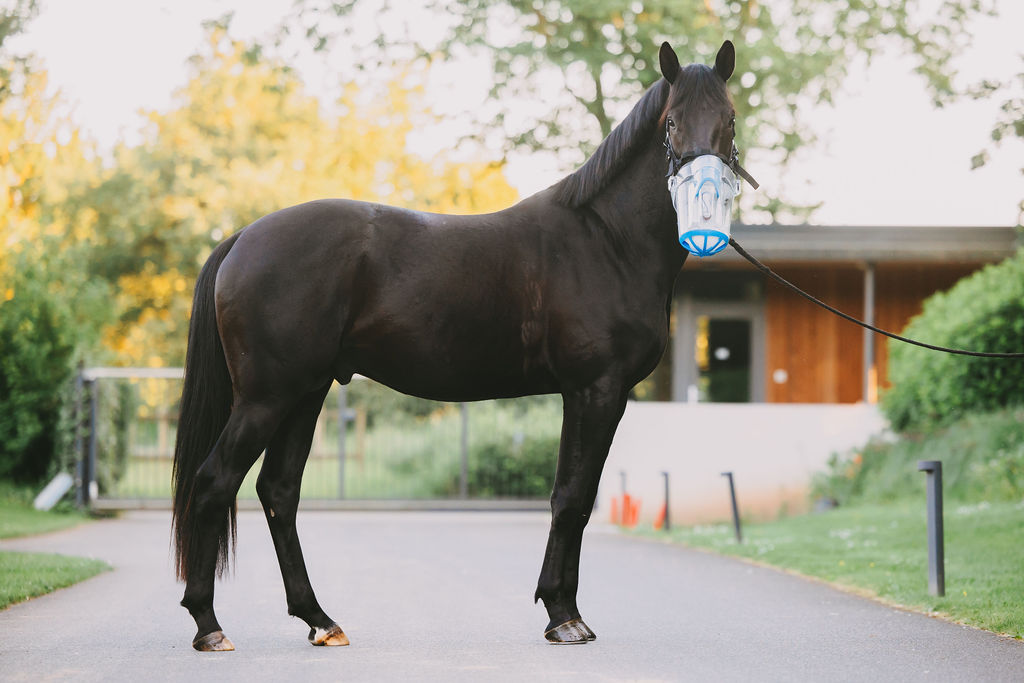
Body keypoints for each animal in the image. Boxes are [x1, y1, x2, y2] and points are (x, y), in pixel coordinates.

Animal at [172, 38, 741, 651]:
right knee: (215, 483)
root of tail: (242, 238)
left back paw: (319, 620)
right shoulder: (596, 391)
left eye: (729, 119)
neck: (607, 241)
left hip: (305, 393)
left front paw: (558, 609)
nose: (705, 213)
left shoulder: (586, 394)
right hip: (267, 398)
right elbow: (573, 498)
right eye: (672, 123)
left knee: (278, 492)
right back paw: (209, 625)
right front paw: (564, 615)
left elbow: (570, 494)